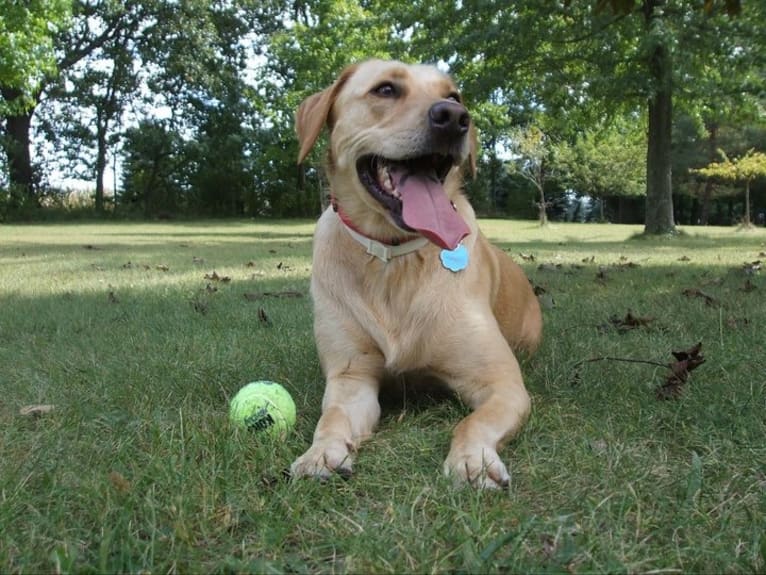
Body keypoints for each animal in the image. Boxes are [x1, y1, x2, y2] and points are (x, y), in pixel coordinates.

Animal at [290, 60, 544, 488]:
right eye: (385, 89)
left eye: (454, 96)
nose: (455, 118)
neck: (394, 259)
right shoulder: (351, 378)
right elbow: (333, 417)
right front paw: (321, 453)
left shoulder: (503, 384)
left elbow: (472, 422)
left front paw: (473, 459)